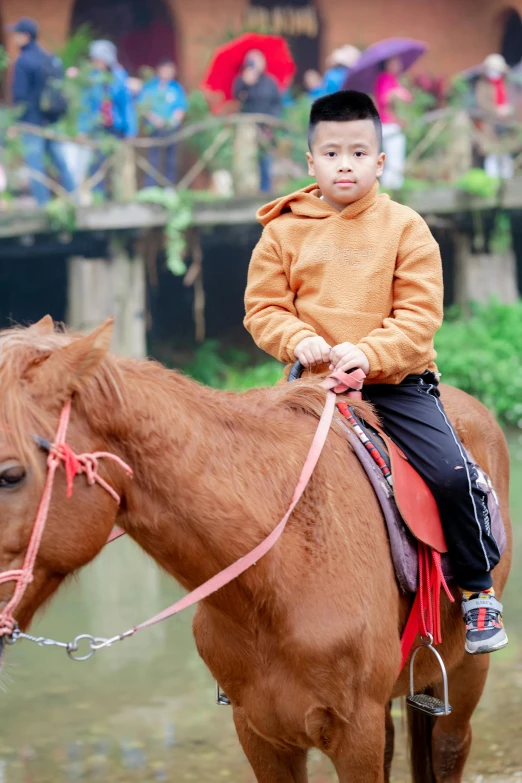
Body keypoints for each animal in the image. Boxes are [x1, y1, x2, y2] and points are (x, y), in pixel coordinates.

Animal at [0, 316, 512, 780]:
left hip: (465, 674)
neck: (280, 577)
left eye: (10, 475)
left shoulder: (355, 733)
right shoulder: (259, 732)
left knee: (449, 749)